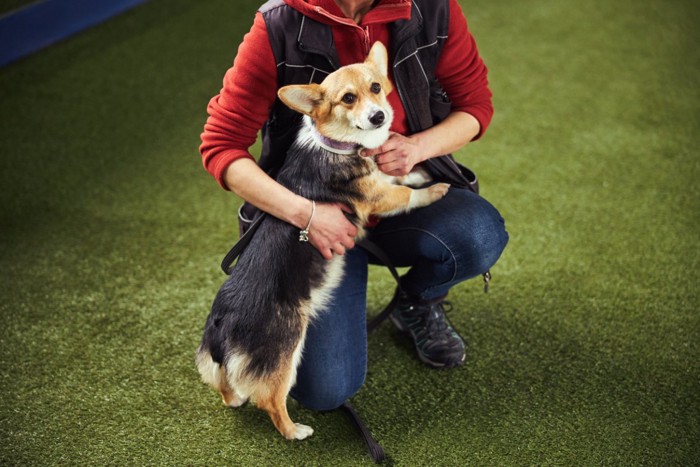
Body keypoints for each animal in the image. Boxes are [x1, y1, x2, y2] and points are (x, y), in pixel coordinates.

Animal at [197, 42, 448, 440]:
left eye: (376, 87)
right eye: (348, 98)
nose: (378, 116)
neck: (339, 145)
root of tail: (222, 327)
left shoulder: (380, 179)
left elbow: (397, 175)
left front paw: (417, 169)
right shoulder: (376, 199)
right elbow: (406, 195)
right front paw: (435, 189)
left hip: (221, 366)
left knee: (227, 390)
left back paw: (235, 399)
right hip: (286, 351)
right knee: (271, 400)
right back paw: (295, 431)